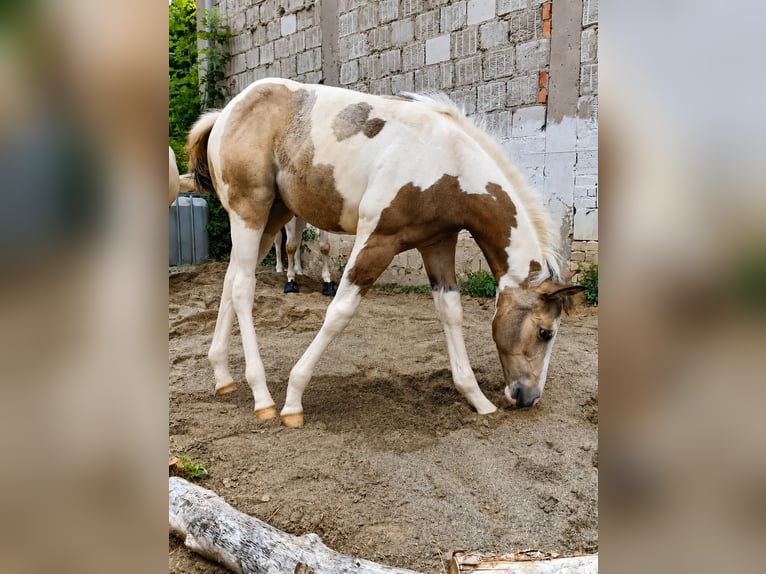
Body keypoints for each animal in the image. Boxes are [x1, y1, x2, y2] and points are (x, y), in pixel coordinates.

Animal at [186, 78, 584, 428]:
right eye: (545, 332)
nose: (529, 397)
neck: (450, 161)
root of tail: (224, 113)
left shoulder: (437, 244)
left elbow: (451, 312)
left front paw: (477, 400)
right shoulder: (377, 240)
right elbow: (339, 312)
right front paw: (294, 401)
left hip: (274, 217)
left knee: (231, 280)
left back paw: (223, 376)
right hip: (250, 212)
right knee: (242, 288)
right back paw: (263, 398)